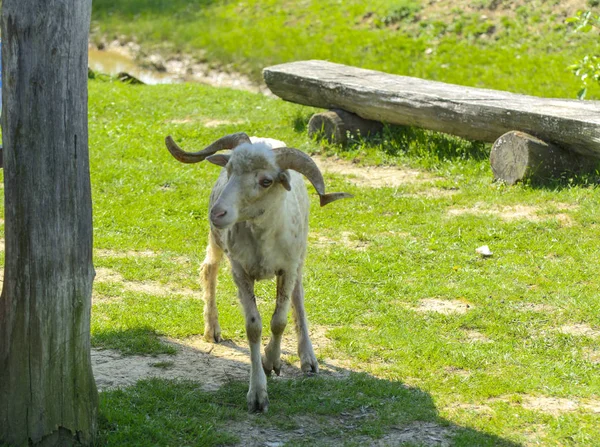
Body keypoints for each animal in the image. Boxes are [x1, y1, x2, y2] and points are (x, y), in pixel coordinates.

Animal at [164, 133, 352, 412]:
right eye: (229, 170)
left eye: (266, 181)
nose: (217, 212)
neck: (262, 240)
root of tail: (265, 137)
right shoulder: (240, 271)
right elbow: (254, 327)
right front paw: (257, 393)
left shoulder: (287, 267)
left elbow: (279, 321)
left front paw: (271, 360)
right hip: (217, 238)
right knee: (209, 269)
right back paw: (212, 328)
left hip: (300, 253)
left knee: (298, 296)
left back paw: (308, 358)